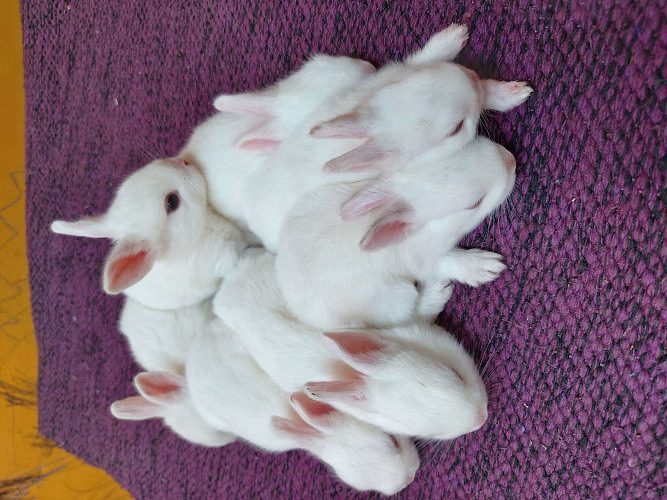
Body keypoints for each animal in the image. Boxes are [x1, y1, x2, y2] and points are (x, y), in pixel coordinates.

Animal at [274, 136, 517, 330]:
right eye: (475, 204)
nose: (511, 160)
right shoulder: (423, 260)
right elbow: (449, 262)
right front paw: (485, 267)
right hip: (398, 297)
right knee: (413, 317)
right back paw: (437, 291)